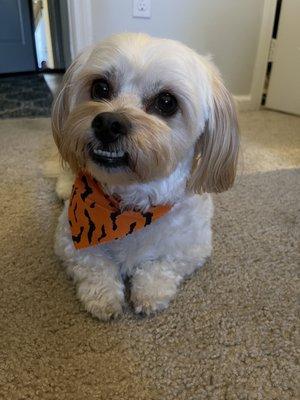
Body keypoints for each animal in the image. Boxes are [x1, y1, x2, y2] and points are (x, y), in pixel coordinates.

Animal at [51, 32, 239, 320]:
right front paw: (103, 296)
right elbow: (93, 265)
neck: (130, 208)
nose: (108, 123)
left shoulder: (194, 248)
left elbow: (162, 265)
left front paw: (149, 292)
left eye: (166, 102)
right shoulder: (68, 241)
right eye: (100, 88)